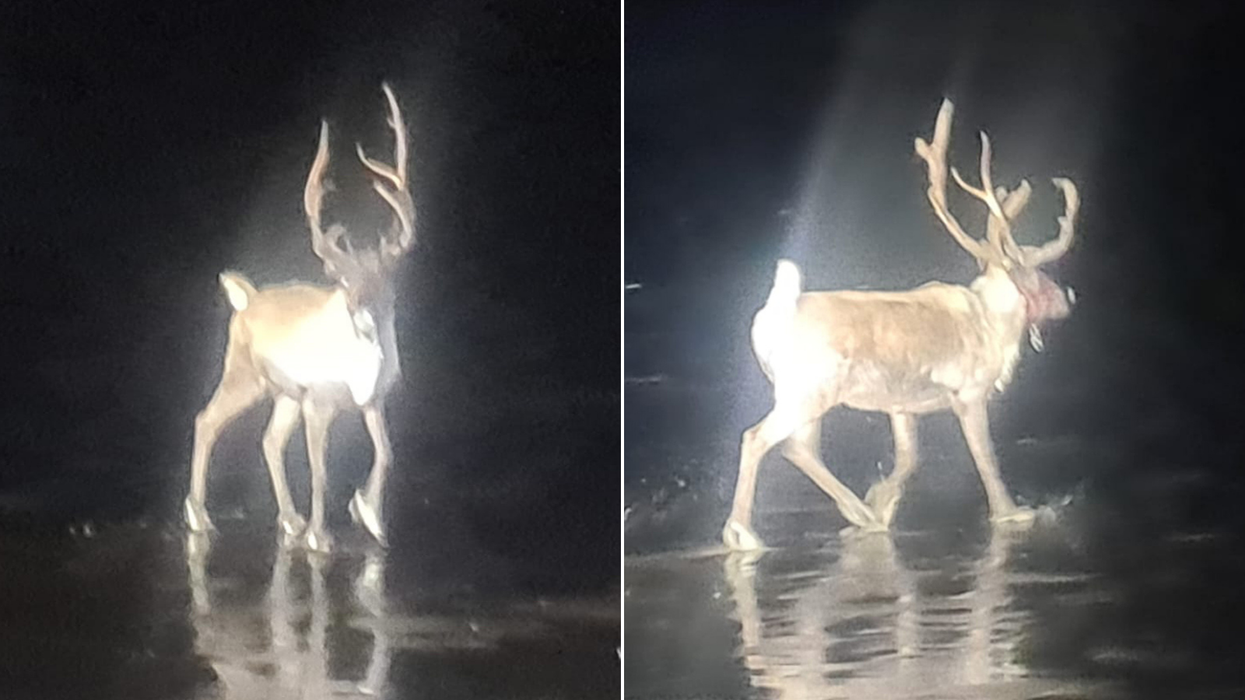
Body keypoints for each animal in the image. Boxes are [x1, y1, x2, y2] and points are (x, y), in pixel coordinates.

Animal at [184, 83, 416, 553]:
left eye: (382, 277)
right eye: (341, 279)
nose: (359, 309)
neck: (362, 365)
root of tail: (247, 298)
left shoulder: (373, 399)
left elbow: (387, 452)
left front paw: (370, 515)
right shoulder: (320, 401)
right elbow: (320, 469)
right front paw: (320, 536)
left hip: (284, 393)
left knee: (270, 440)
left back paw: (289, 520)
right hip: (245, 373)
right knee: (207, 420)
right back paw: (199, 515)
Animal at [722, 98, 1080, 551]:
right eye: (1041, 274)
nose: (1068, 299)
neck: (994, 323)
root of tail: (769, 318)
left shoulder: (901, 404)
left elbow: (910, 458)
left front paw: (882, 499)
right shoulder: (970, 392)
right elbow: (986, 457)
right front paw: (1012, 511)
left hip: (805, 395)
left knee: (798, 448)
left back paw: (860, 512)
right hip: (808, 391)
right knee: (759, 438)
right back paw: (743, 532)